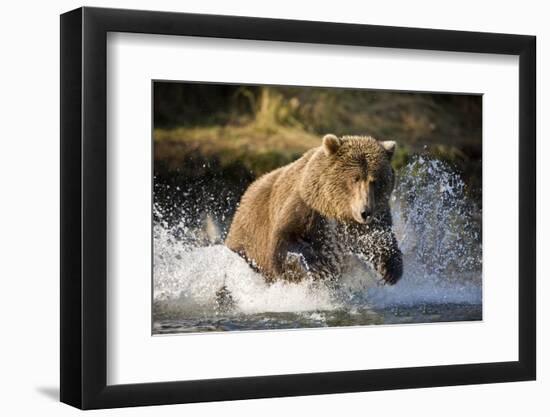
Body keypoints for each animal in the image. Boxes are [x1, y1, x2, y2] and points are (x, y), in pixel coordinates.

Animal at [226, 135, 404, 284]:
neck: (336, 210)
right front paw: (319, 267)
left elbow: (381, 240)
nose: (365, 212)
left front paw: (389, 270)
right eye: (355, 178)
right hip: (248, 236)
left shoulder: (375, 218)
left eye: (375, 181)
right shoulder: (307, 207)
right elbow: (284, 241)